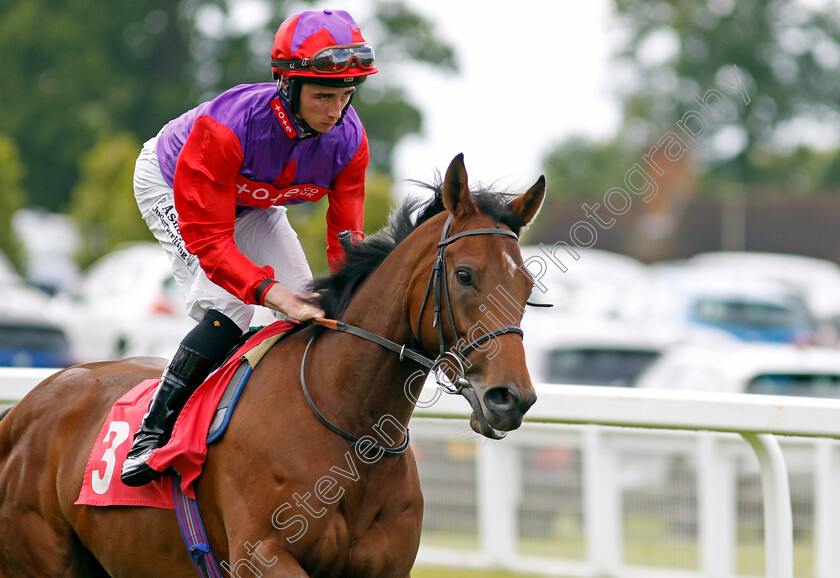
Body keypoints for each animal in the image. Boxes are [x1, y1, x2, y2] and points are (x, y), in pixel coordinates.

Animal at [0, 154, 544, 576]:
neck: (348, 425)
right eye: (465, 275)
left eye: (528, 285)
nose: (509, 398)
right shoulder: (262, 555)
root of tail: (25, 407)